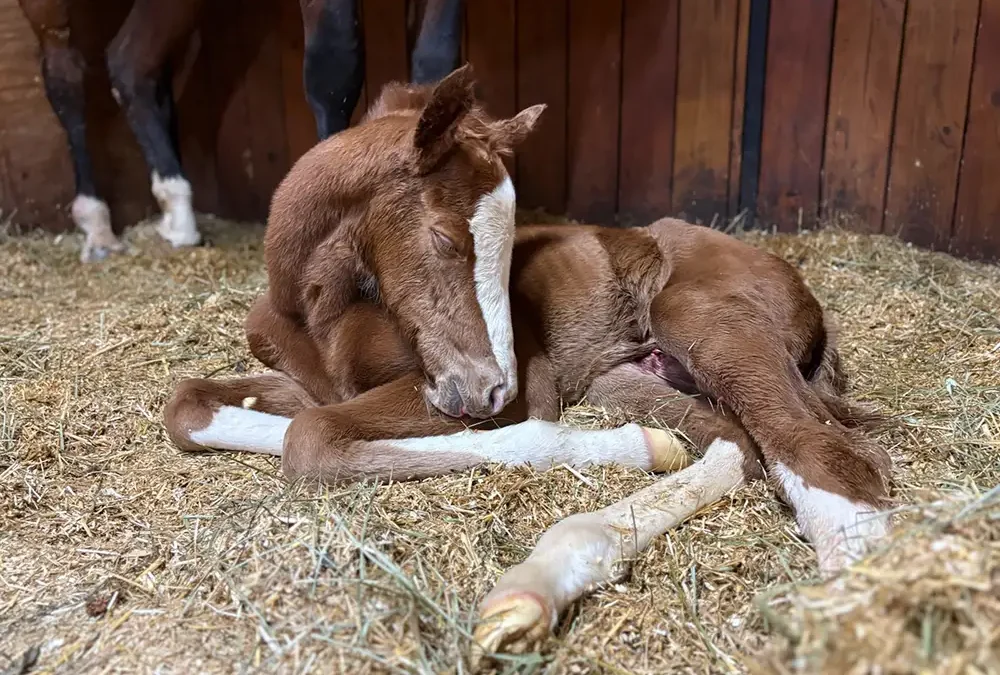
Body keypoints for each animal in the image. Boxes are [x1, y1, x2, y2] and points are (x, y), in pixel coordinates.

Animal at [18, 0, 464, 262]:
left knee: (132, 64)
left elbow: (437, 55)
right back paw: (97, 225)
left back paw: (178, 214)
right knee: (65, 77)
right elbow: (335, 63)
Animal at [160, 67, 896, 660]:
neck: (318, 316)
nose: (490, 390)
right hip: (633, 374)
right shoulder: (310, 382)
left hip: (708, 325)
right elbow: (191, 407)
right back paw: (547, 574)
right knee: (731, 442)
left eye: (512, 245)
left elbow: (310, 437)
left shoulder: (496, 390)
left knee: (819, 448)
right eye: (444, 237)